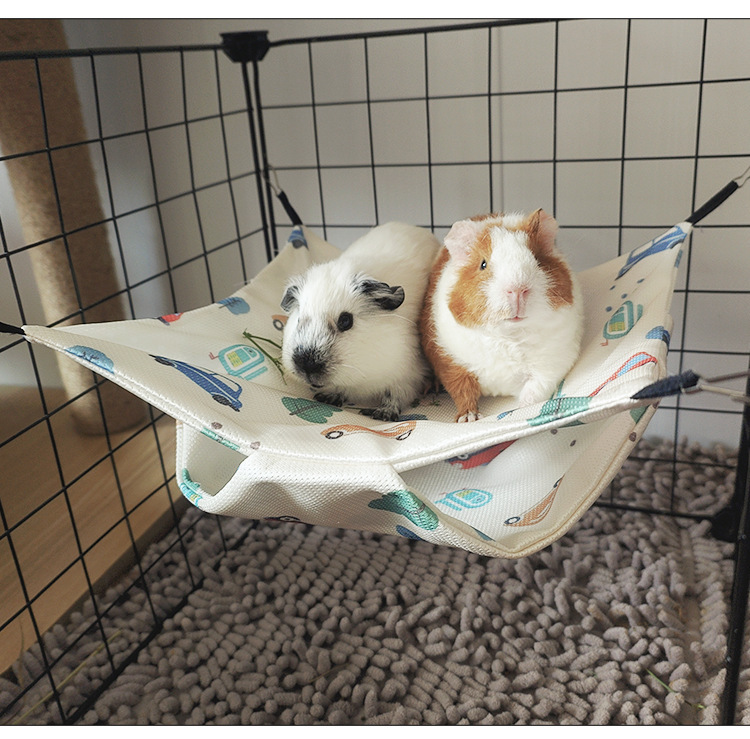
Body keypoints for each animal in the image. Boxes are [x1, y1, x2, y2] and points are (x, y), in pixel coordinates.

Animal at [281, 222, 442, 421]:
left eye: (346, 321)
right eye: (299, 318)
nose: (307, 365)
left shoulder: (407, 375)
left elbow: (395, 396)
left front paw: (382, 415)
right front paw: (328, 398)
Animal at [420, 209, 584, 423]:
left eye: (537, 259)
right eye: (483, 264)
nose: (517, 290)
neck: (510, 336)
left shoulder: (552, 365)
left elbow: (535, 390)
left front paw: (522, 409)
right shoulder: (450, 362)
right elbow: (463, 391)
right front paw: (469, 418)